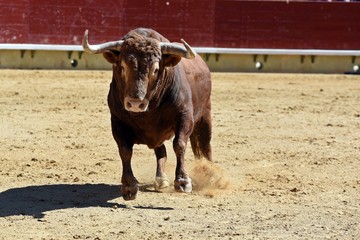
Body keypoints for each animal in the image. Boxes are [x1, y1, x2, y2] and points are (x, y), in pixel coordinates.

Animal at [82, 28, 211, 201]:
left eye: (155, 69)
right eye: (123, 67)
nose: (135, 103)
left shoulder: (185, 116)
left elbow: (179, 144)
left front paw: (183, 181)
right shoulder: (117, 121)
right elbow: (125, 150)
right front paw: (129, 186)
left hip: (205, 116)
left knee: (205, 145)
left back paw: (210, 174)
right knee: (161, 150)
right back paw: (161, 179)